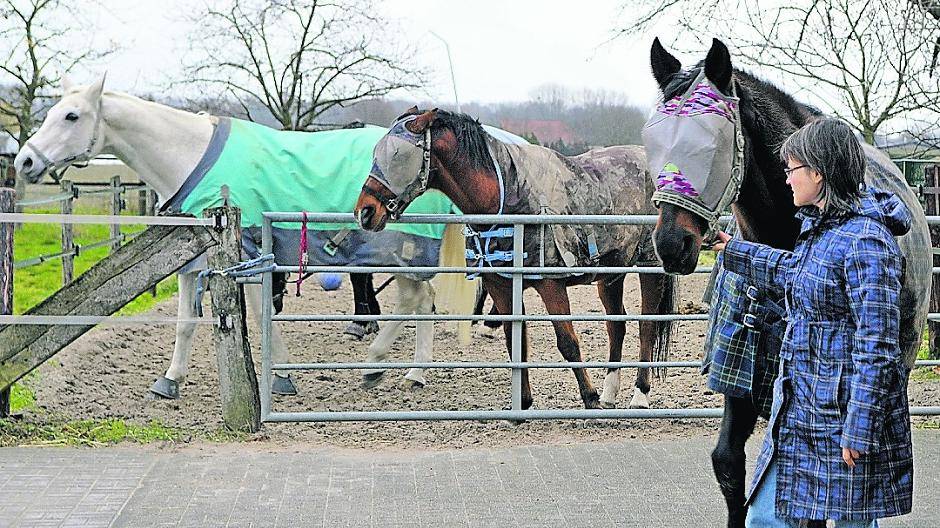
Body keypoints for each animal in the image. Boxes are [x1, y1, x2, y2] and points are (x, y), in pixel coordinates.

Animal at [12, 75, 472, 399]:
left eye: (71, 116)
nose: (24, 161)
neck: (190, 157)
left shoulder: (247, 255)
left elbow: (260, 315)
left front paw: (281, 377)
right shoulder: (191, 262)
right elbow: (185, 323)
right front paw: (170, 380)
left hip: (401, 251)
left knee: (415, 302)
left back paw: (382, 366)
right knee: (421, 302)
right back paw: (411, 374)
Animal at [354, 107, 677, 410]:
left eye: (397, 155)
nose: (365, 212)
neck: (505, 196)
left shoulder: (551, 286)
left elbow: (568, 343)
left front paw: (590, 398)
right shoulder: (501, 285)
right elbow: (515, 339)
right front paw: (523, 402)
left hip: (649, 267)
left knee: (646, 327)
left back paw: (639, 395)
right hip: (611, 274)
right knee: (616, 326)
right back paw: (611, 392)